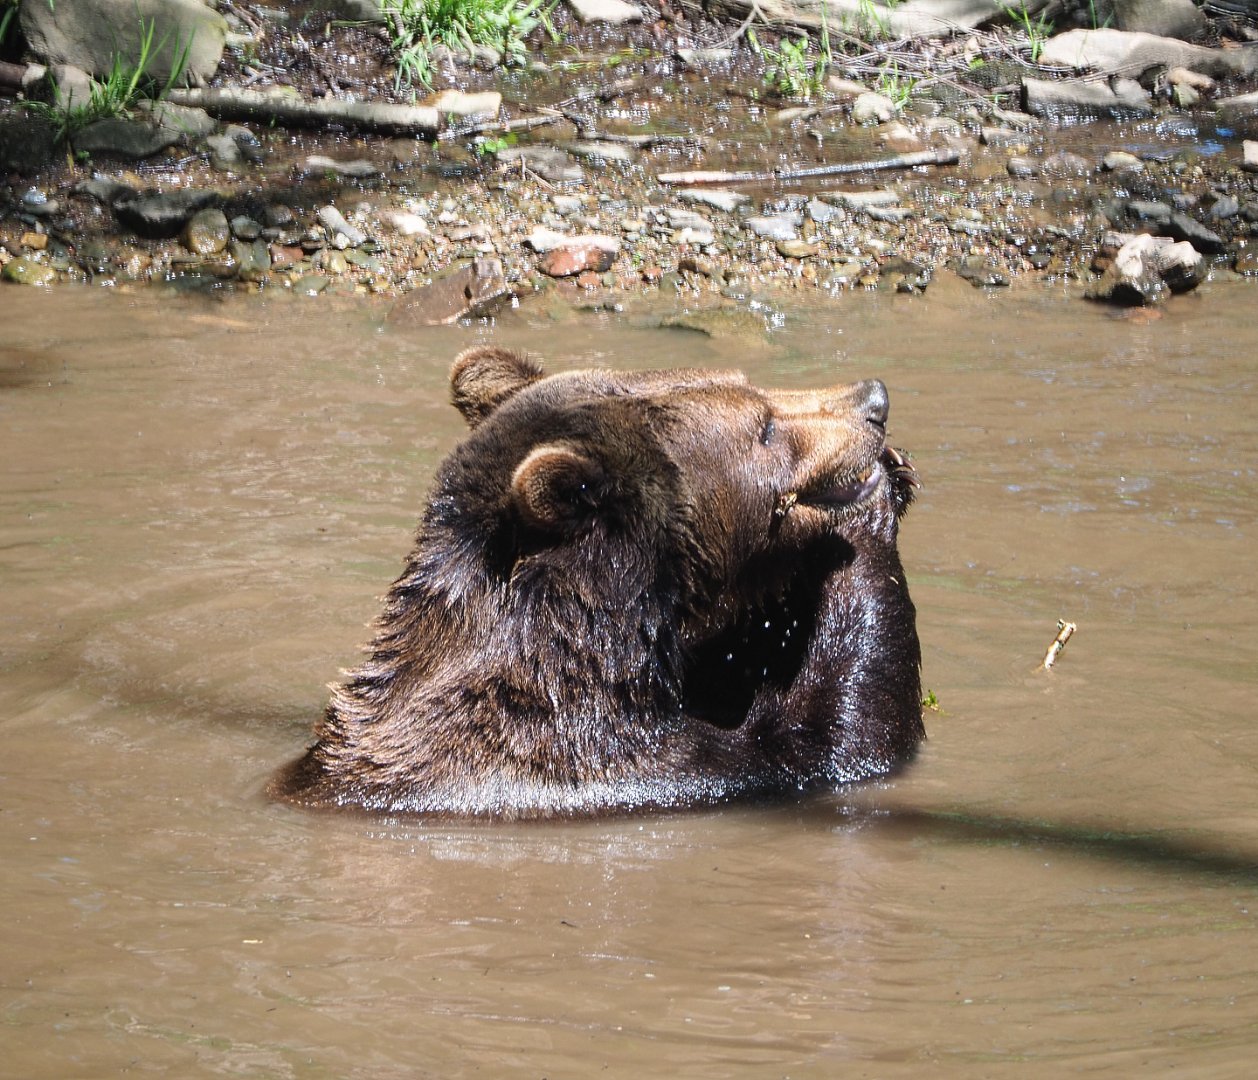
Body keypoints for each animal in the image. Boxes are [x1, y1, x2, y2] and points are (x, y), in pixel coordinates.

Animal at [271, 346, 923, 818]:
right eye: (762, 427)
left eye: (752, 384)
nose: (874, 399)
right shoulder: (630, 769)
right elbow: (848, 734)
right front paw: (872, 502)